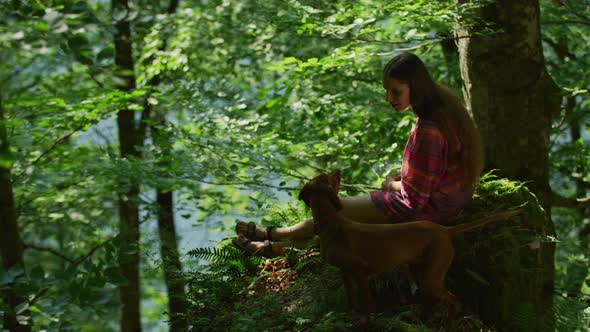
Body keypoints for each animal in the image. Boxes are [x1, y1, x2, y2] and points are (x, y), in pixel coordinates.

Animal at [300, 169, 524, 322]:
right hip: (421, 270)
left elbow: (366, 306)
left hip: (432, 275)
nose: (338, 170)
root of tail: (444, 230)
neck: (330, 222)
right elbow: (351, 300)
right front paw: (350, 317)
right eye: (329, 177)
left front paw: (364, 322)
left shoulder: (360, 271)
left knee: (452, 299)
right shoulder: (346, 273)